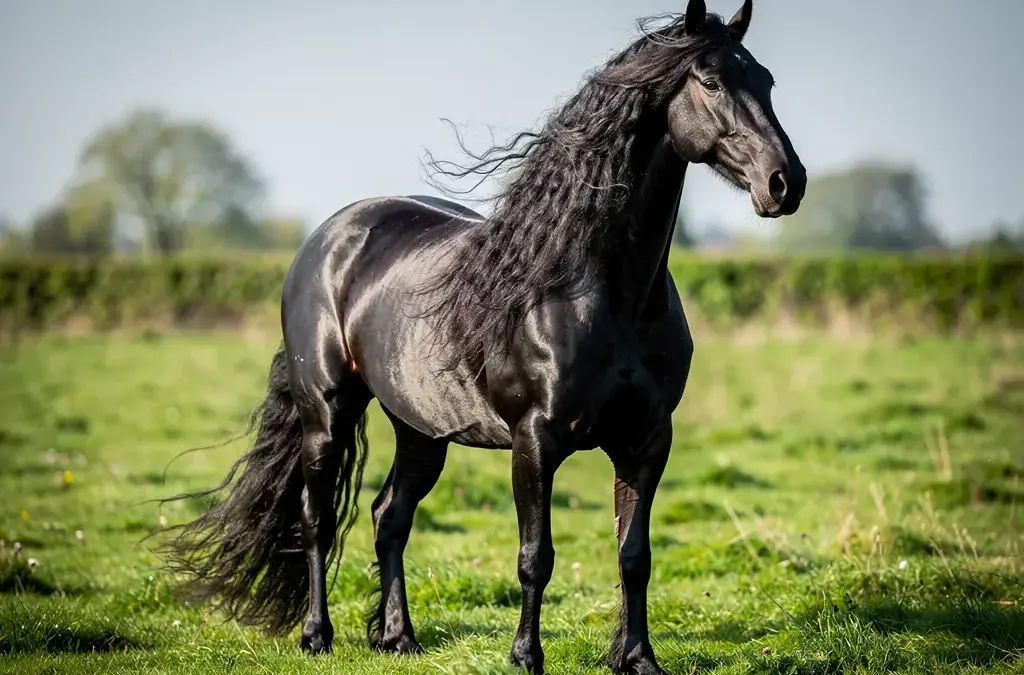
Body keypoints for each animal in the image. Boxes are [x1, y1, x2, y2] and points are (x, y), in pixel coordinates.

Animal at [158, 1, 805, 673]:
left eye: (766, 81)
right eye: (710, 82)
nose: (785, 183)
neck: (600, 292)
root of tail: (327, 239)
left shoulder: (647, 441)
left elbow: (635, 555)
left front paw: (637, 659)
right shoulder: (535, 441)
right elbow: (535, 558)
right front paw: (526, 657)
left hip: (420, 429)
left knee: (390, 517)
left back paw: (399, 638)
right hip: (327, 414)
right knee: (316, 519)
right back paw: (317, 635)